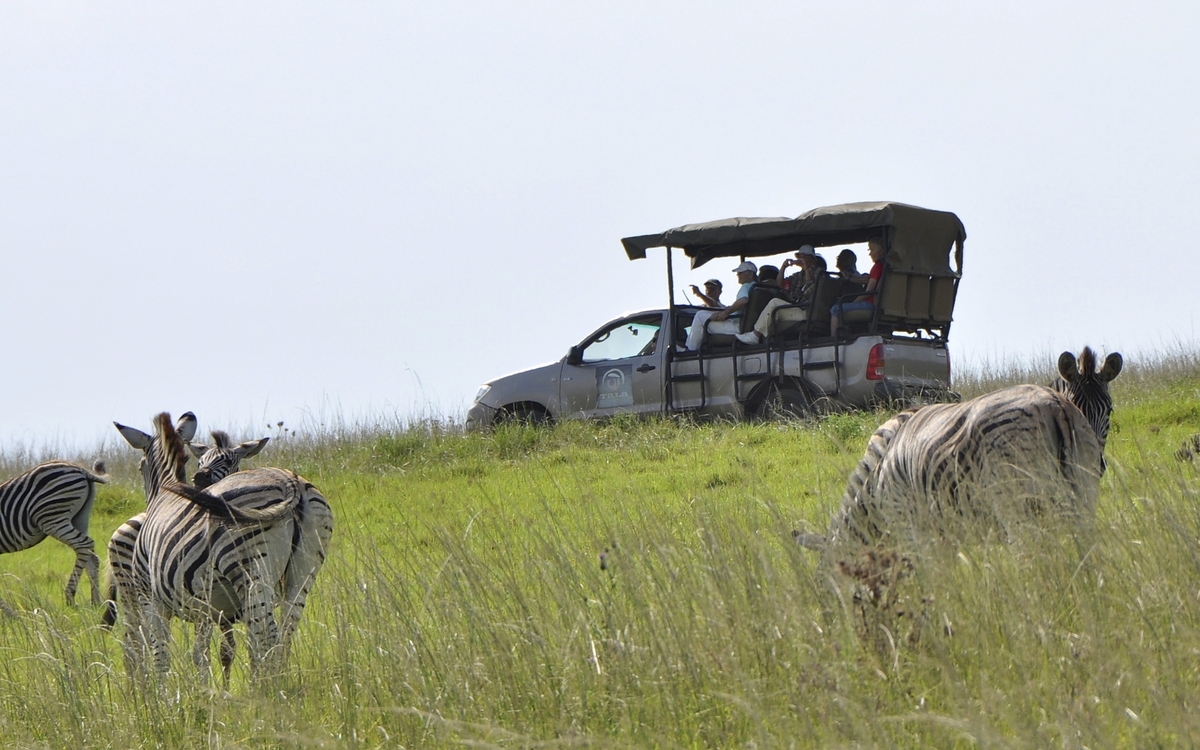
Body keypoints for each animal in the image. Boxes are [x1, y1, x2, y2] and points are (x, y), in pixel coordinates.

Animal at [0, 459, 109, 606]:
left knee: (84, 545)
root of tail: (82, 470)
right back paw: (96, 602)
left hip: (53, 517)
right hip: (80, 518)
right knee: (92, 557)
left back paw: (70, 597)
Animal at [113, 412, 328, 680]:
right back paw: (275, 682)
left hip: (248, 569)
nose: (200, 478)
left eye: (140, 467)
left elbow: (165, 653)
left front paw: (177, 690)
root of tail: (291, 480)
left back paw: (265, 685)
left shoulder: (153, 596)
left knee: (266, 635)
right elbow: (214, 651)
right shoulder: (210, 604)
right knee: (283, 633)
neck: (166, 490)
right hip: (304, 570)